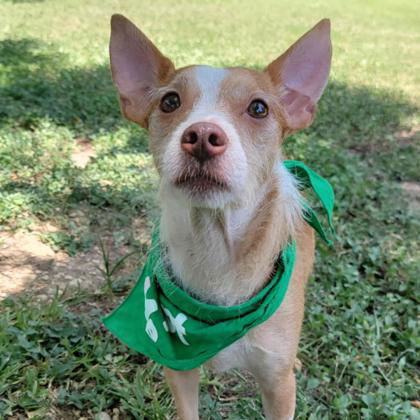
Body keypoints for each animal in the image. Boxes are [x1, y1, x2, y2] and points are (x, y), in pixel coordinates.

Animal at [107, 14, 332, 418]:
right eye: (170, 101)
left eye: (259, 108)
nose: (201, 135)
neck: (215, 245)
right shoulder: (179, 370)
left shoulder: (278, 384)